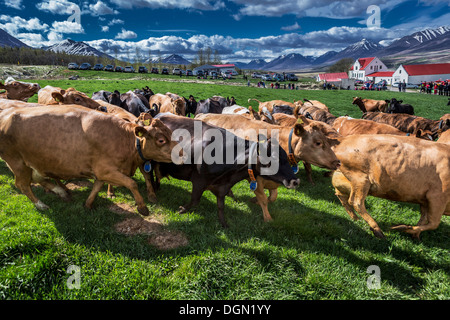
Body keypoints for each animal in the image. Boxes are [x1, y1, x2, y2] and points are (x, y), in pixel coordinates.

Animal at [0, 105, 182, 215]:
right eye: (161, 140)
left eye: (170, 132)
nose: (181, 153)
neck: (124, 139)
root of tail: (7, 114)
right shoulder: (106, 169)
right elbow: (132, 184)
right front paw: (142, 207)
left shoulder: (102, 172)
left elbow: (96, 187)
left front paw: (87, 204)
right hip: (18, 163)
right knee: (23, 184)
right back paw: (41, 204)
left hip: (34, 163)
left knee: (38, 179)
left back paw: (62, 192)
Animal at [154, 114, 298, 226]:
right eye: (272, 159)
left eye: (286, 157)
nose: (295, 181)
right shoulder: (199, 180)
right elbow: (194, 201)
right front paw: (182, 209)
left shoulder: (223, 186)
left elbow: (221, 206)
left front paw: (223, 224)